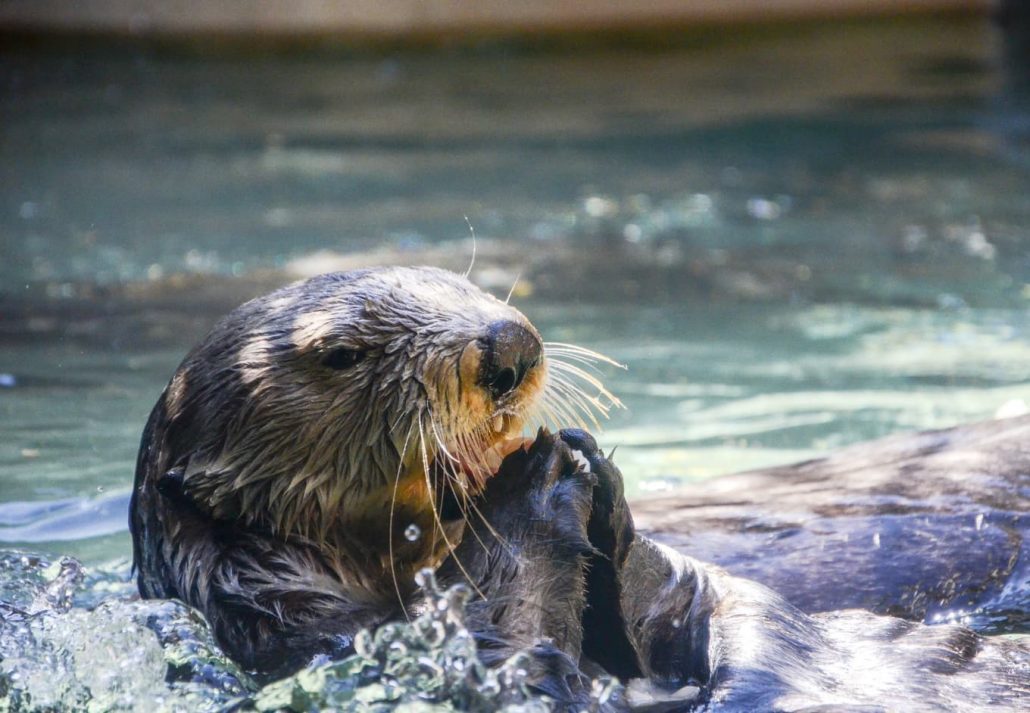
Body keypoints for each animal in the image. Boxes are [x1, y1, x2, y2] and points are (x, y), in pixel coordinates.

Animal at [130, 267, 1030, 713]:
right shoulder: (320, 638)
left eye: (459, 281)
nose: (508, 342)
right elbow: (527, 668)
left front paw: (592, 473)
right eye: (341, 353)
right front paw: (531, 486)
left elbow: (709, 601)